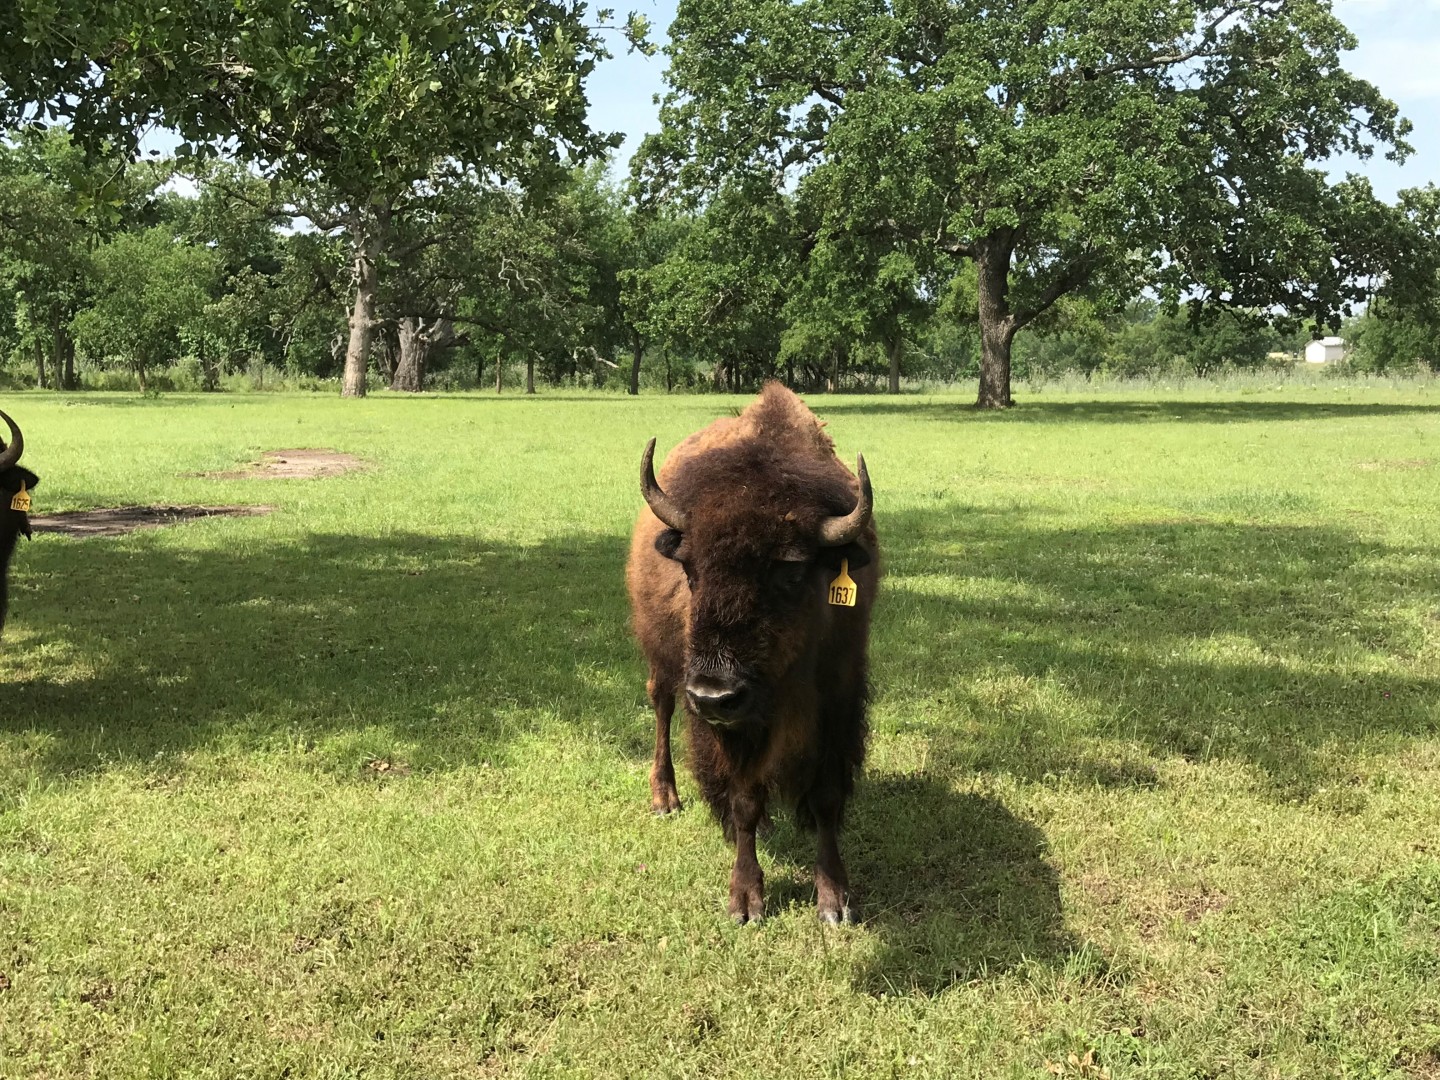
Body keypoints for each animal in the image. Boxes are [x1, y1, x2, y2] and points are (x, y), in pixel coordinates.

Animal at [626, 382, 879, 924]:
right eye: (690, 570)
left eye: (791, 571)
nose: (713, 695)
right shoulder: (733, 726)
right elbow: (743, 799)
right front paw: (746, 900)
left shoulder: (838, 701)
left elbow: (826, 798)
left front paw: (835, 900)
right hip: (662, 659)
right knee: (661, 705)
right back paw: (665, 797)